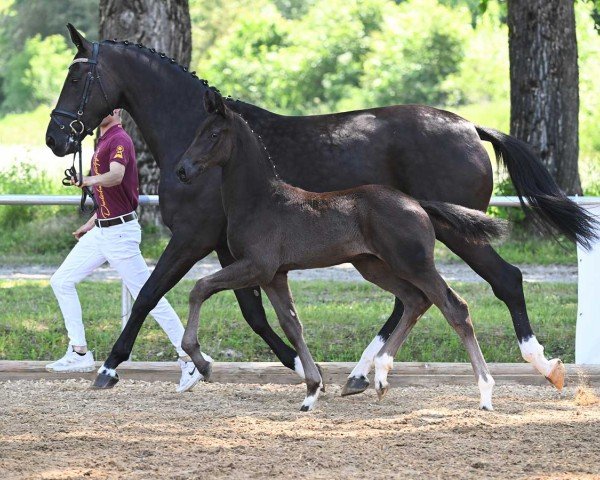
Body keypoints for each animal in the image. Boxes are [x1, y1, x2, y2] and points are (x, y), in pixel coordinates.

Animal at [175, 89, 506, 408]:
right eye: (197, 132)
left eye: (214, 134)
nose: (182, 170)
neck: (261, 200)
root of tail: (417, 203)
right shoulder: (274, 275)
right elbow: (292, 324)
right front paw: (312, 390)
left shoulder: (256, 266)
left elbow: (200, 287)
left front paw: (202, 362)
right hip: (373, 265)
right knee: (415, 300)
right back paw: (380, 377)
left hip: (414, 263)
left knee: (453, 306)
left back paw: (485, 393)